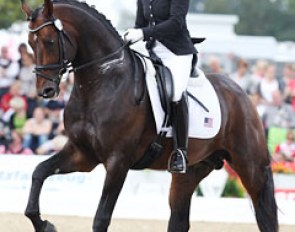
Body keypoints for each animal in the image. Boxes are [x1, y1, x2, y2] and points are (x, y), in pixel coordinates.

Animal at [21, 0, 280, 232]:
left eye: (49, 41)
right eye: (30, 44)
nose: (46, 91)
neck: (103, 81)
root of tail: (242, 93)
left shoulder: (118, 162)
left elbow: (101, 218)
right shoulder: (82, 154)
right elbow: (38, 173)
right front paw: (45, 225)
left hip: (250, 167)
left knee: (265, 216)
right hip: (190, 171)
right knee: (179, 220)